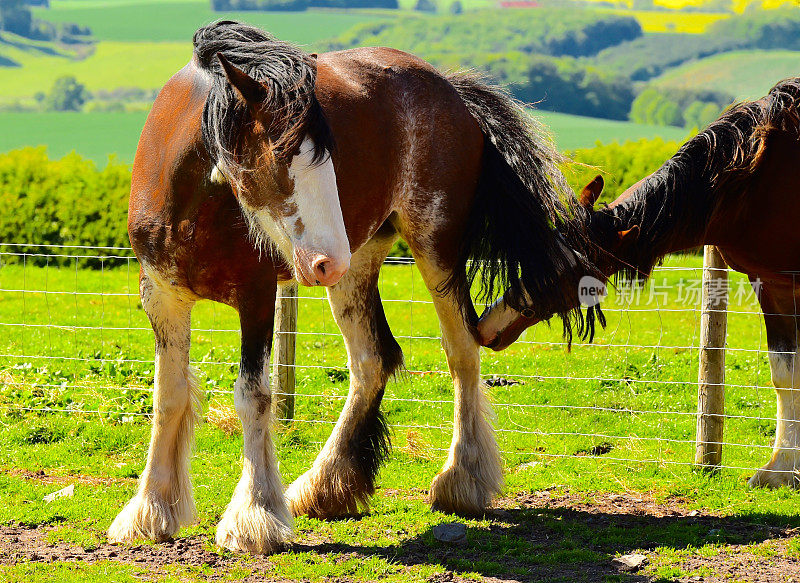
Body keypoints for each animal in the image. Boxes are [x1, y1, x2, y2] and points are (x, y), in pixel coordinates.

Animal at [114, 20, 600, 556]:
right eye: (281, 155)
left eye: (330, 158)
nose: (328, 260)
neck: (193, 204)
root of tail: (451, 90)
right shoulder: (162, 298)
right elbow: (169, 396)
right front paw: (151, 510)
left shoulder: (256, 297)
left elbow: (253, 396)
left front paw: (255, 517)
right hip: (358, 266)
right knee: (372, 360)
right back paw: (327, 487)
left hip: (435, 248)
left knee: (461, 352)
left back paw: (461, 480)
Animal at [478, 76, 800, 488]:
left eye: (565, 276)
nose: (487, 326)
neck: (759, 180)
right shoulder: (772, 285)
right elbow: (783, 372)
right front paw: (781, 469)